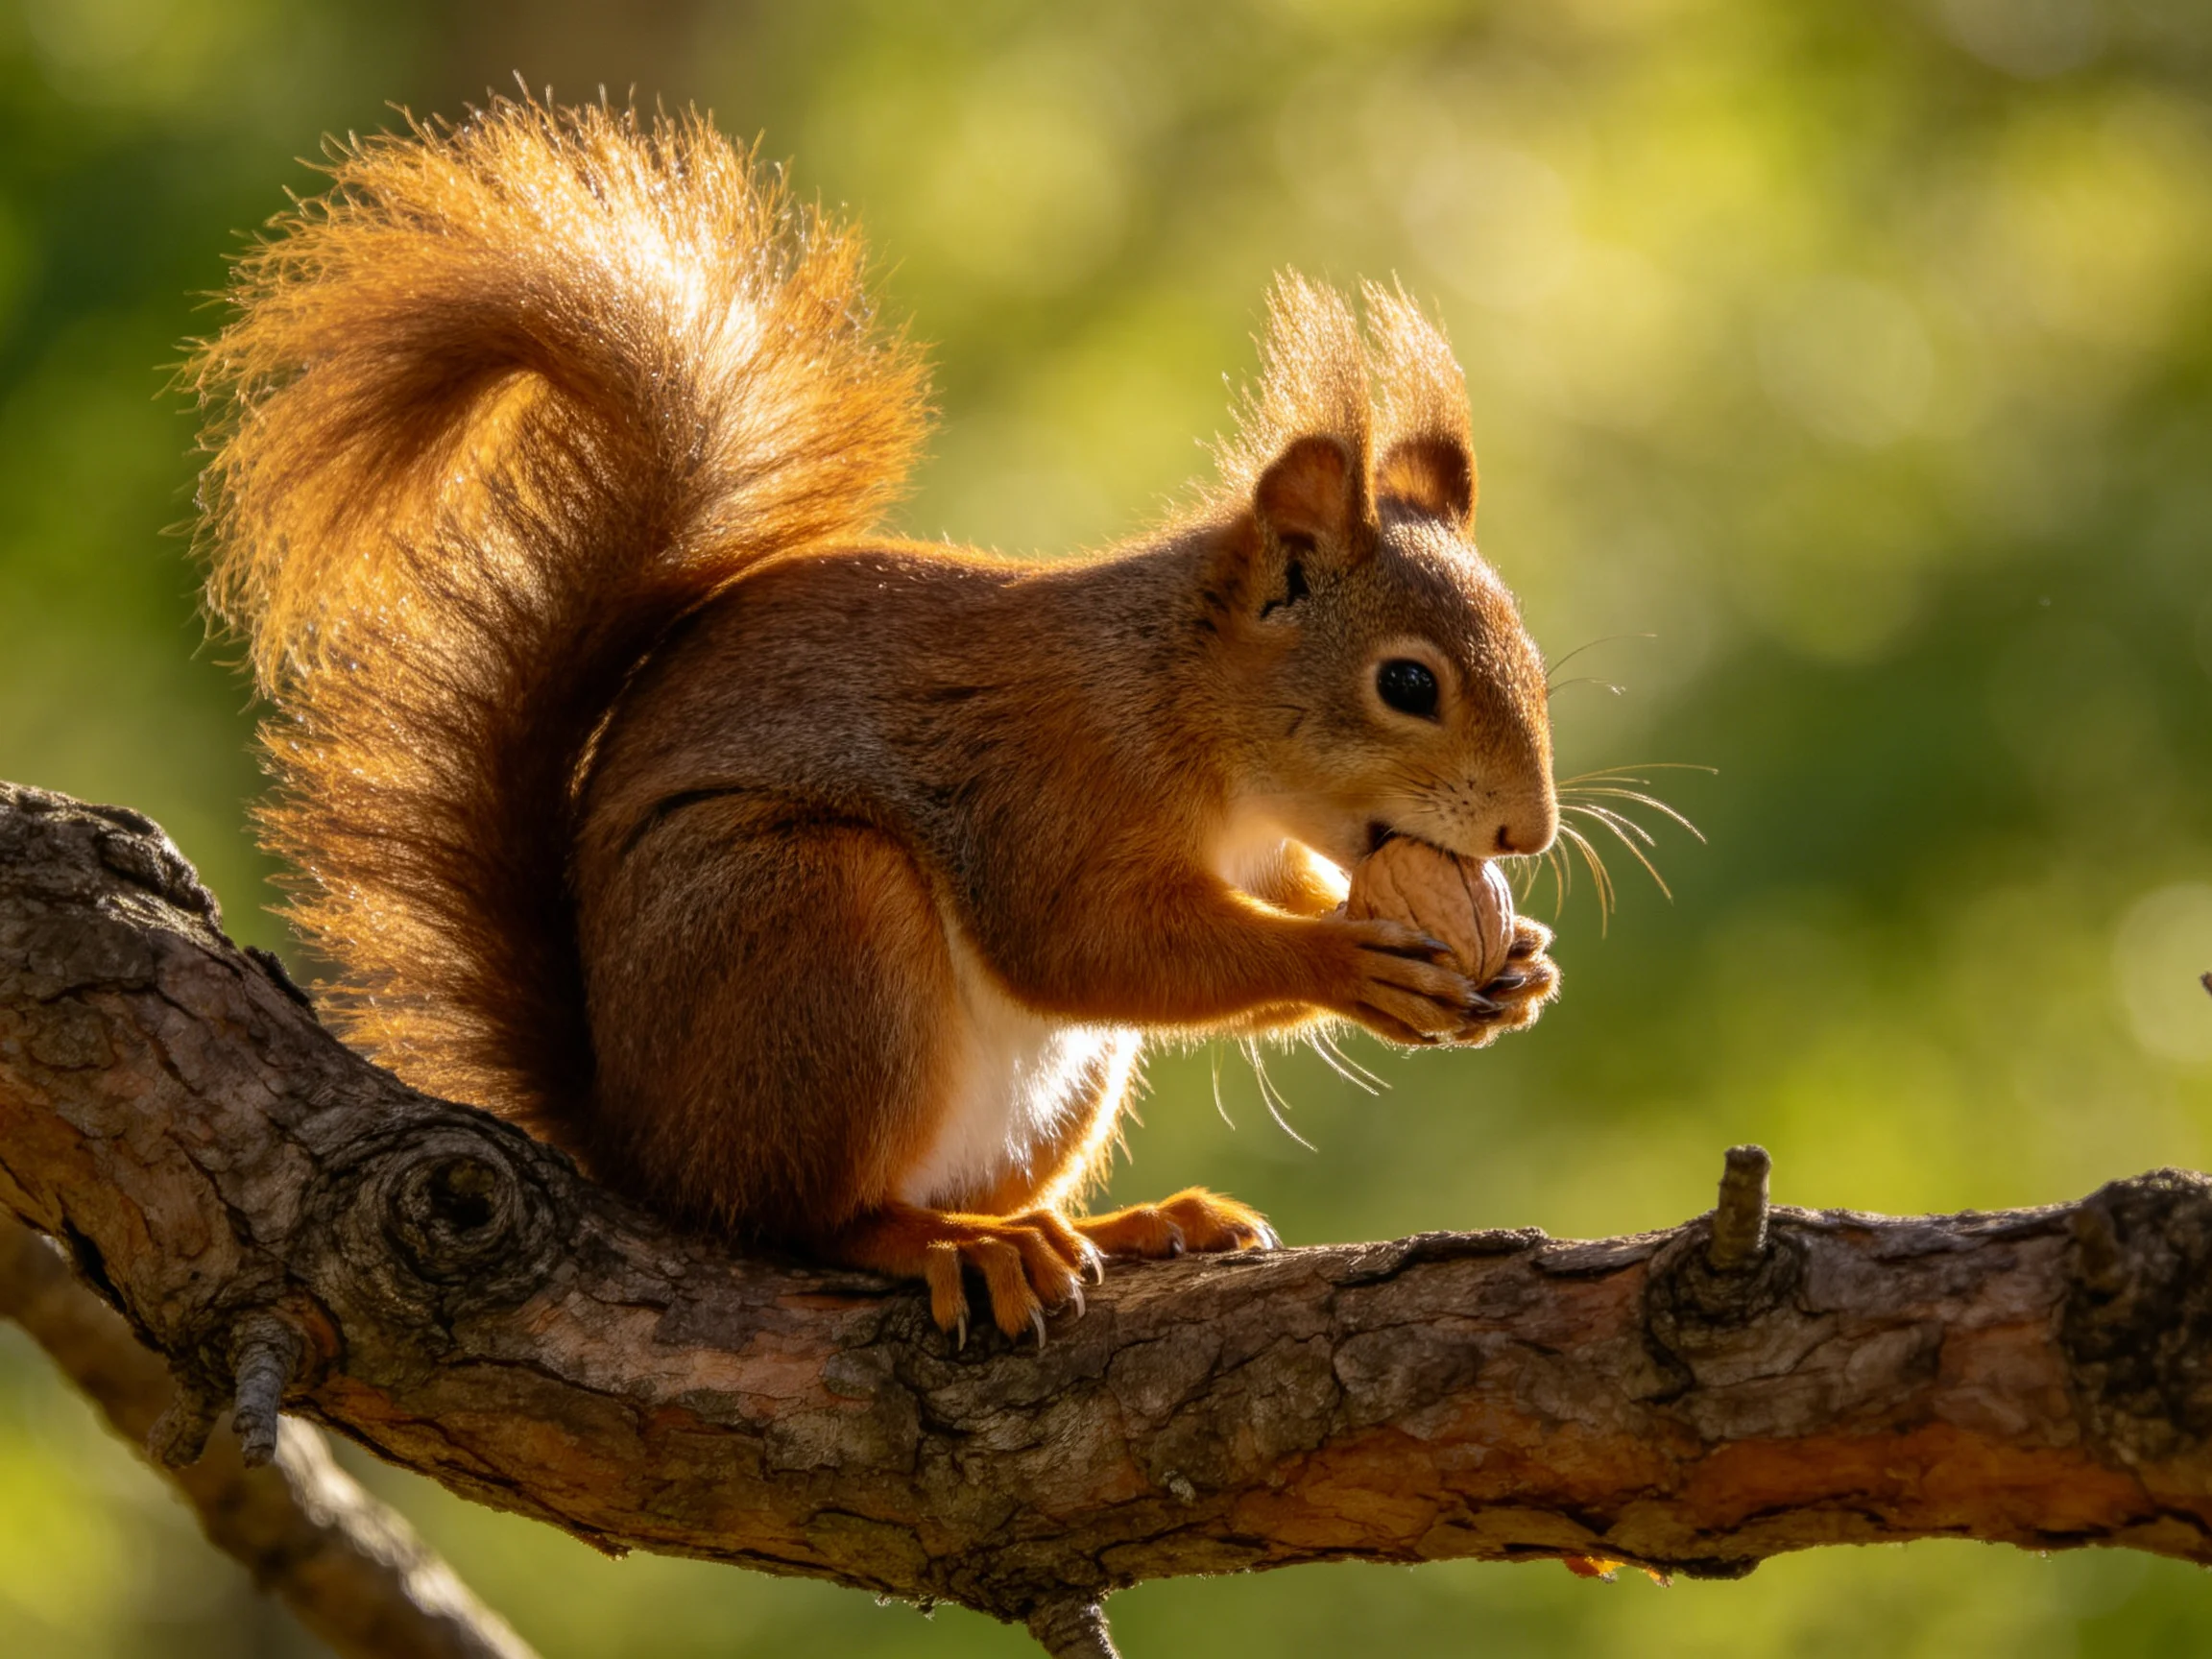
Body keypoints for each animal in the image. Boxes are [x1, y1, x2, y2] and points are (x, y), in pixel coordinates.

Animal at [187, 98, 1561, 1344]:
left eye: (1536, 662)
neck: (1188, 708)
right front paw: (1350, 962)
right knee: (803, 1215)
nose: (1528, 835)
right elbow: (1083, 943)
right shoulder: (1050, 775)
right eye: (1408, 685)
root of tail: (637, 1139)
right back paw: (946, 1248)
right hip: (815, 920)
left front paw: (1521, 963)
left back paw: (1119, 1226)